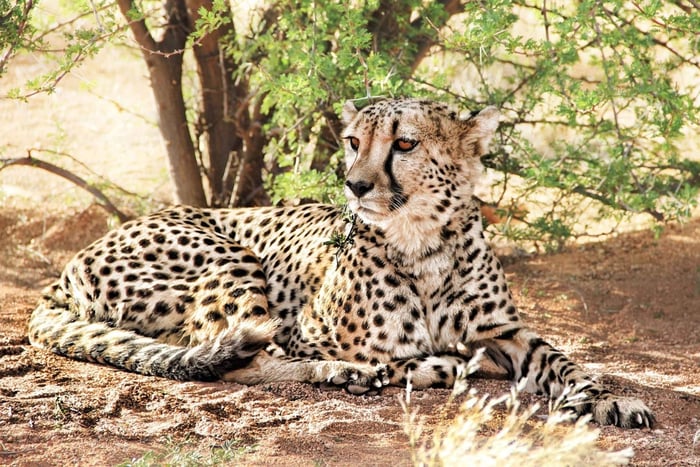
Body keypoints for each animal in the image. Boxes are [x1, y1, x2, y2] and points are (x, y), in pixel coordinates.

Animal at [28, 98, 654, 428]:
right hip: (229, 257)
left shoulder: (504, 332)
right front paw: (414, 366)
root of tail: (65, 271)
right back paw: (353, 374)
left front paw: (609, 399)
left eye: (405, 144)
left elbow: (564, 362)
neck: (422, 241)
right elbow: (393, 357)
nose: (354, 185)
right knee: (231, 356)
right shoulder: (304, 331)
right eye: (354, 141)